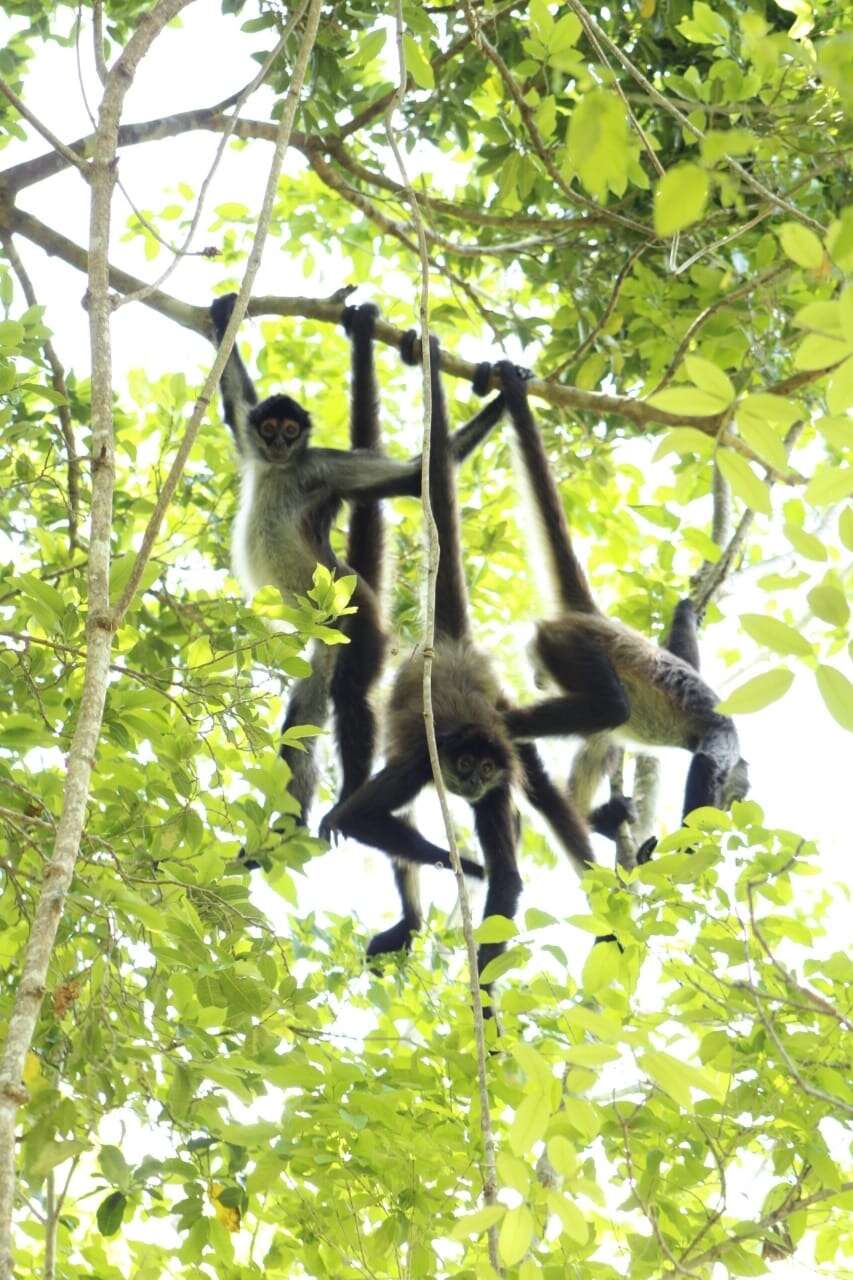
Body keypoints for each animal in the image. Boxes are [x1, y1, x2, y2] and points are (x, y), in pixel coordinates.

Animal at [208, 298, 504, 839]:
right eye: (269, 429)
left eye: (290, 432)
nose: (279, 446)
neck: (281, 471)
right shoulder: (253, 440)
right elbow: (235, 398)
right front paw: (225, 312)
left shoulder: (321, 468)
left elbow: (414, 475)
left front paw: (509, 393)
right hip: (323, 648)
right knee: (303, 717)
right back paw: (280, 835)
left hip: (356, 621)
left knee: (350, 695)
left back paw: (346, 800)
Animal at [318, 327, 596, 998]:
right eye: (463, 764)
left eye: (481, 769)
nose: (470, 780)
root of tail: (450, 645)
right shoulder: (427, 760)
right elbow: (357, 816)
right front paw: (466, 866)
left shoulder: (501, 776)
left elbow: (509, 879)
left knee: (539, 784)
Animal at [479, 360, 753, 819]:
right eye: (738, 794)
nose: (732, 805)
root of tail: (593, 616)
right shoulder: (724, 738)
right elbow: (703, 769)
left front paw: (686, 609)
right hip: (573, 645)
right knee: (612, 709)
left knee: (602, 736)